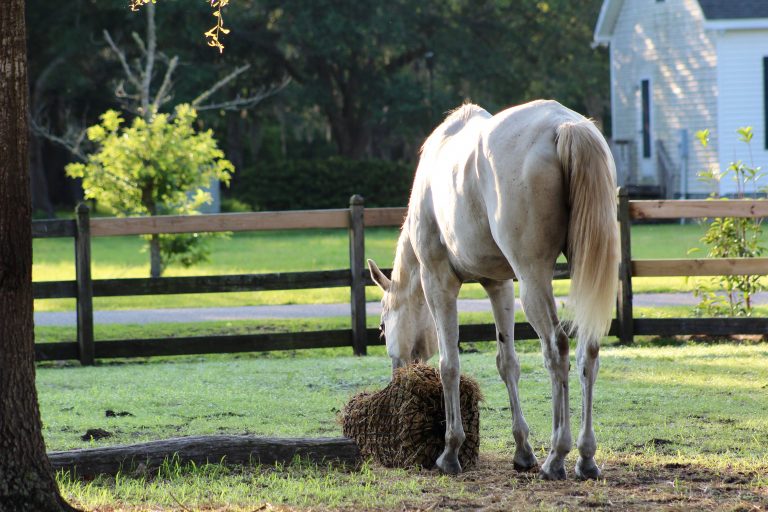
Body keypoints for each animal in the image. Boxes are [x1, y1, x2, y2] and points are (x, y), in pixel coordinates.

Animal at [368, 99, 616, 480]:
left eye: (382, 327)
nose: (398, 375)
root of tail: (564, 126)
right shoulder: (499, 285)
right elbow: (507, 363)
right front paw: (522, 450)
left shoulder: (438, 281)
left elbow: (450, 365)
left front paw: (450, 451)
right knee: (586, 351)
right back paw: (585, 458)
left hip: (532, 279)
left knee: (556, 348)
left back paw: (557, 456)